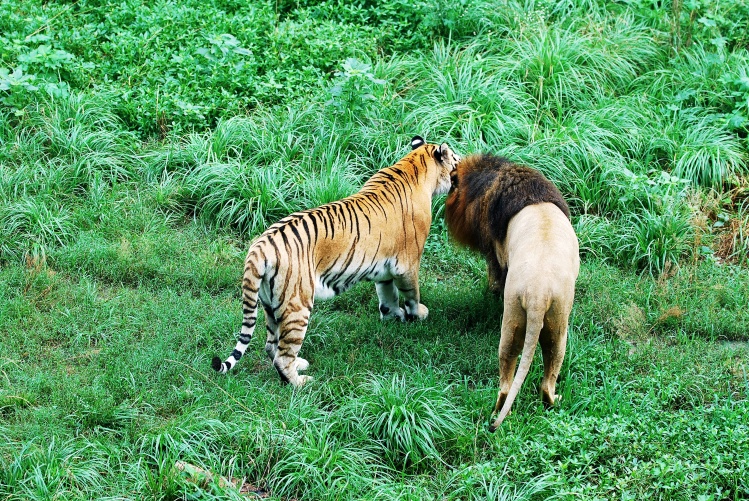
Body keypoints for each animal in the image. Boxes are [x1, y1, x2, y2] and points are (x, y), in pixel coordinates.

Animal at [207, 135, 458, 384]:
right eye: (456, 160)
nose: (461, 170)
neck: (413, 164)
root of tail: (259, 247)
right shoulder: (407, 264)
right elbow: (411, 293)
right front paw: (418, 314)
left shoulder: (385, 269)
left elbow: (388, 295)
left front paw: (393, 316)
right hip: (297, 305)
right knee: (282, 355)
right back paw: (301, 381)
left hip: (270, 305)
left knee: (271, 346)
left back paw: (298, 365)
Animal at [444, 153, 580, 430]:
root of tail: (539, 292)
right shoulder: (497, 255)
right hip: (552, 318)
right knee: (542, 368)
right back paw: (552, 400)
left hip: (528, 312)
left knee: (513, 378)